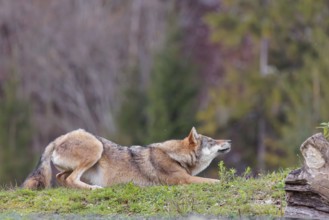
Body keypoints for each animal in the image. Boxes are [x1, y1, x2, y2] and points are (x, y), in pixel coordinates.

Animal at [21, 128, 229, 190]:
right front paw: (228, 181)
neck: (175, 156)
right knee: (70, 179)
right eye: (212, 141)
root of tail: (58, 139)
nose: (229, 140)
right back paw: (94, 189)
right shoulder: (184, 179)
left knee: (61, 178)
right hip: (96, 147)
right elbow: (215, 180)